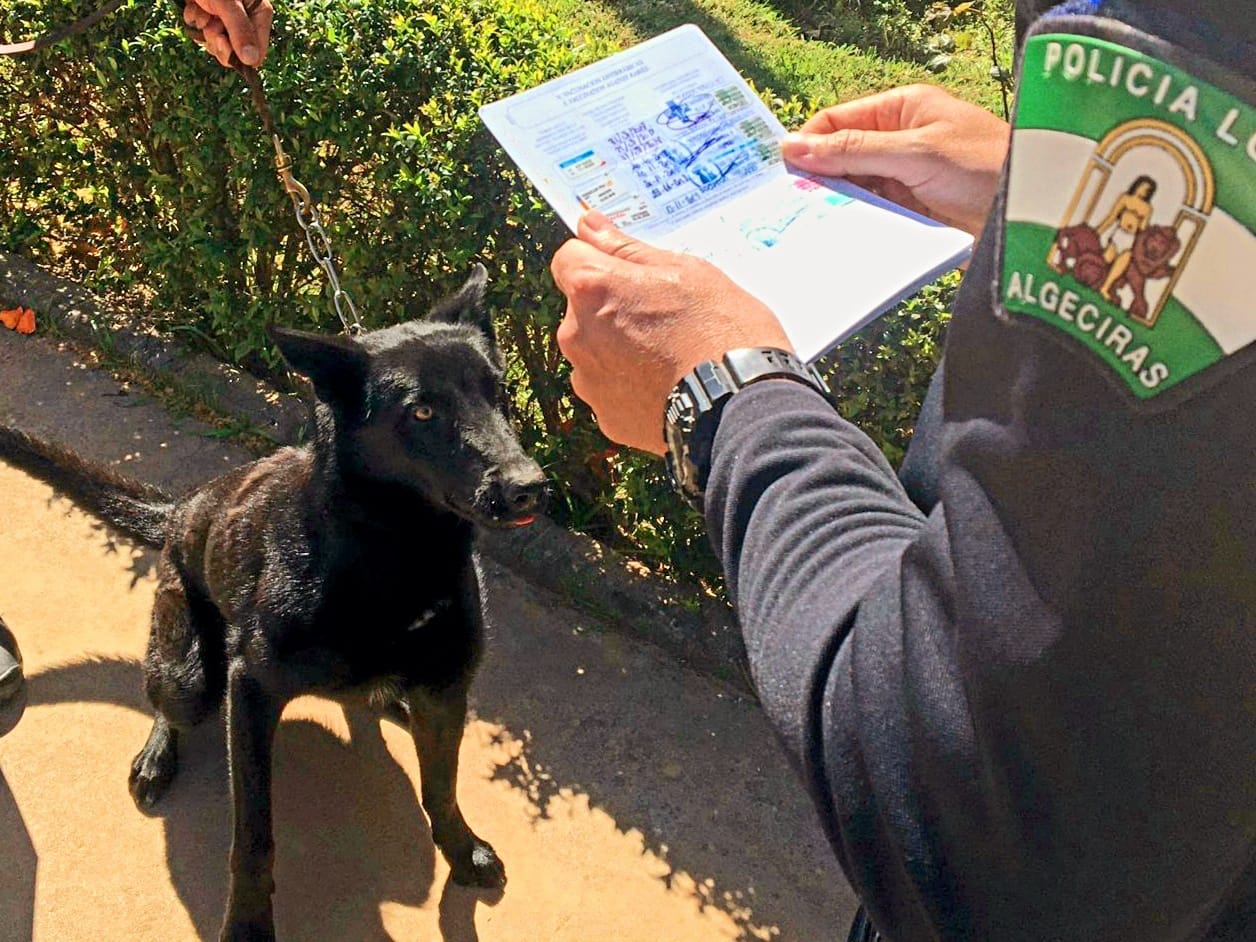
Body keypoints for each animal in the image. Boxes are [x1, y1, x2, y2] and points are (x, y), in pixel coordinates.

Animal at [0, 267, 545, 942]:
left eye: (500, 394)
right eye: (422, 410)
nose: (529, 487)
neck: (395, 556)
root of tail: (178, 513)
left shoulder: (446, 691)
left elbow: (440, 790)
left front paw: (463, 852)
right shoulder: (252, 691)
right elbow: (253, 838)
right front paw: (248, 925)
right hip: (189, 671)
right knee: (167, 700)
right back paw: (157, 754)